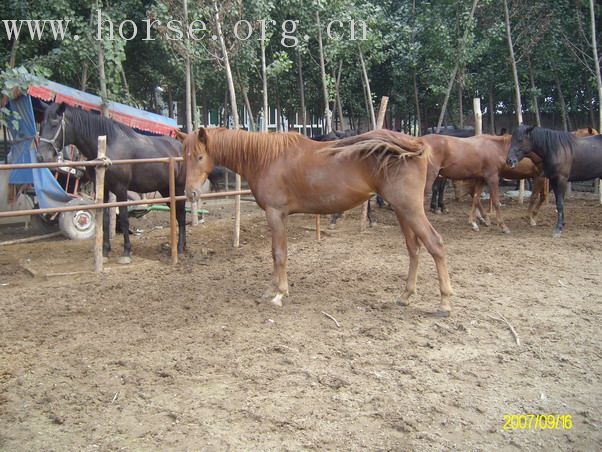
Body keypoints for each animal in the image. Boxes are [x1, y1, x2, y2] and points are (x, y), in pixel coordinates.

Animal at [37, 102, 188, 264]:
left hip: (178, 188)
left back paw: (180, 248)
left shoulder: (121, 189)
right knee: (178, 214)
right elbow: (105, 220)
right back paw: (182, 246)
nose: (41, 156)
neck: (108, 146)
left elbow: (124, 219)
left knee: (181, 214)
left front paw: (126, 252)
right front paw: (104, 252)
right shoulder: (103, 189)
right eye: (42, 125)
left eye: (54, 124)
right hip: (166, 189)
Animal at [178, 127, 454, 316]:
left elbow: (279, 254)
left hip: (410, 209)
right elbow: (276, 252)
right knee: (414, 248)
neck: (266, 158)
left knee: (435, 244)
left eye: (200, 157)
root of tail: (414, 143)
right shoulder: (278, 216)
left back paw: (444, 302)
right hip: (402, 210)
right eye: (185, 156)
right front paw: (272, 289)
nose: (191, 193)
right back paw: (406, 296)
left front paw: (279, 294)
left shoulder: (275, 213)